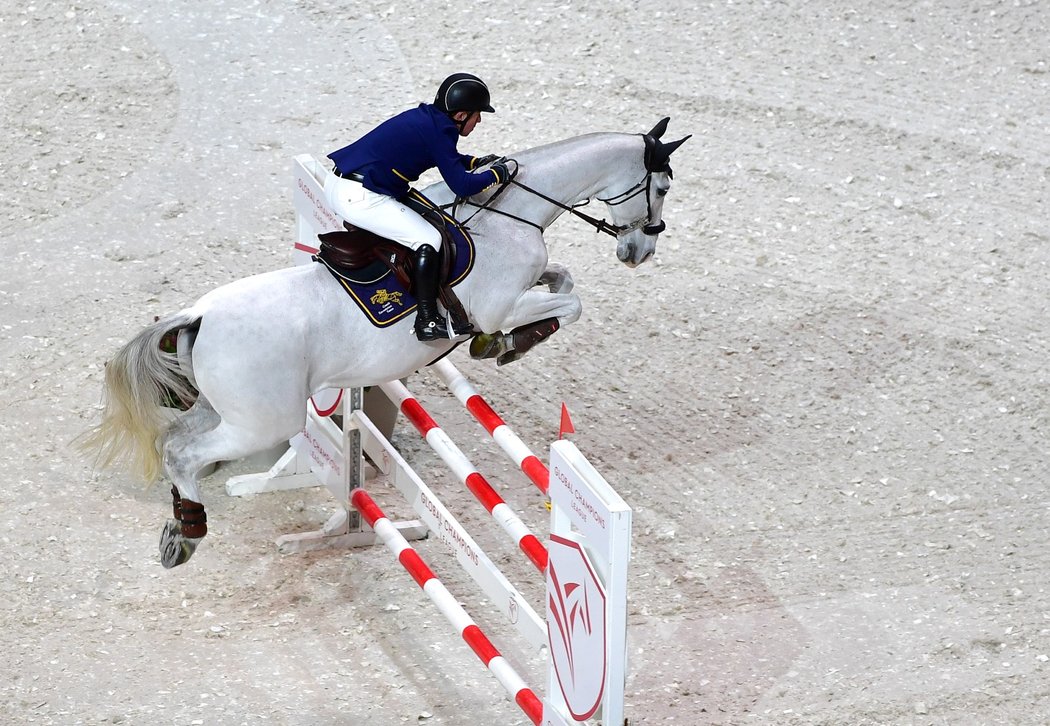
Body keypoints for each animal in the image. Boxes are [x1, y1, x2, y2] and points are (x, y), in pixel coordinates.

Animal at [81, 117, 688, 567]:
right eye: (661, 187)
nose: (639, 251)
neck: (509, 214)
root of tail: (199, 314)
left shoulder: (526, 284)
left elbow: (563, 281)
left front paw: (505, 342)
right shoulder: (502, 303)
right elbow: (568, 304)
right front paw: (509, 344)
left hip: (224, 409)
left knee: (174, 443)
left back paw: (179, 531)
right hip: (263, 421)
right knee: (186, 452)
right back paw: (189, 533)